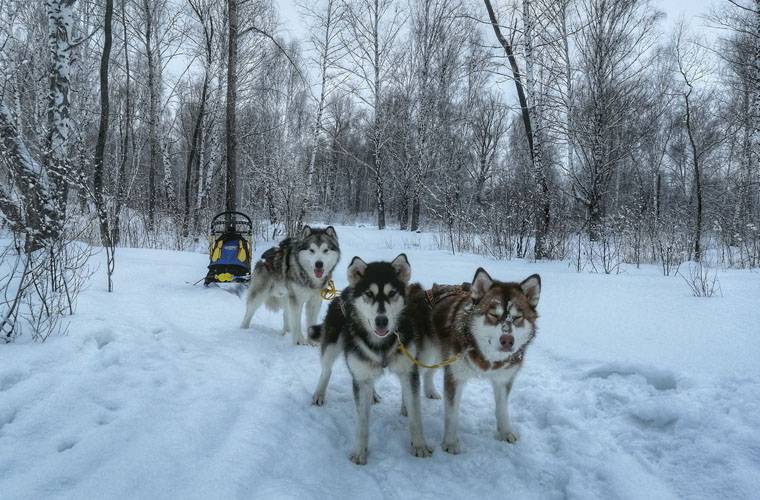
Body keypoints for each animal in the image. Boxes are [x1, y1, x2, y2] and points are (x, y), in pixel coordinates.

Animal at [308, 254, 434, 464]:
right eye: (368, 293)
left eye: (392, 293)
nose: (381, 320)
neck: (381, 344)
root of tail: (344, 292)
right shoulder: (360, 378)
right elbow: (362, 421)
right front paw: (359, 451)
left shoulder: (408, 372)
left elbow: (416, 416)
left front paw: (419, 445)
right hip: (332, 347)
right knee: (326, 370)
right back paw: (319, 394)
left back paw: (373, 394)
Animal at [424, 270, 544, 454]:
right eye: (493, 315)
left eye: (518, 317)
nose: (507, 340)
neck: (488, 358)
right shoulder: (455, 377)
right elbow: (452, 413)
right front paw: (450, 442)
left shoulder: (504, 379)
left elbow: (502, 409)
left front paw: (505, 432)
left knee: (428, 372)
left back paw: (430, 391)